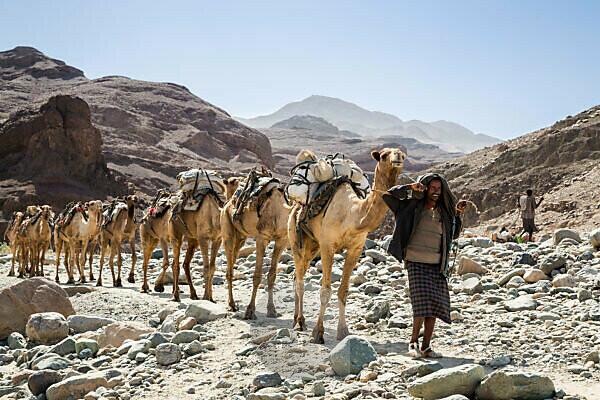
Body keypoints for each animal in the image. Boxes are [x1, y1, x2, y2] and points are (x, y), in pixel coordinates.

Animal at [223, 171, 292, 318]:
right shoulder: (262, 238)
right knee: (229, 270)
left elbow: (272, 275)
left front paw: (272, 310)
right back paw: (231, 304)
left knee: (232, 261)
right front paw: (250, 310)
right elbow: (257, 276)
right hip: (228, 233)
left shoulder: (281, 240)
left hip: (240, 238)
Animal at [288, 148, 406, 342]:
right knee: (299, 281)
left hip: (312, 245)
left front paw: (343, 332)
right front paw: (318, 333)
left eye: (403, 155)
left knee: (298, 275)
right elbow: (325, 291)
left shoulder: (355, 249)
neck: (351, 215)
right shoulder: (327, 246)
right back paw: (299, 322)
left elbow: (343, 291)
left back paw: (298, 320)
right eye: (383, 155)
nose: (397, 158)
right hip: (296, 239)